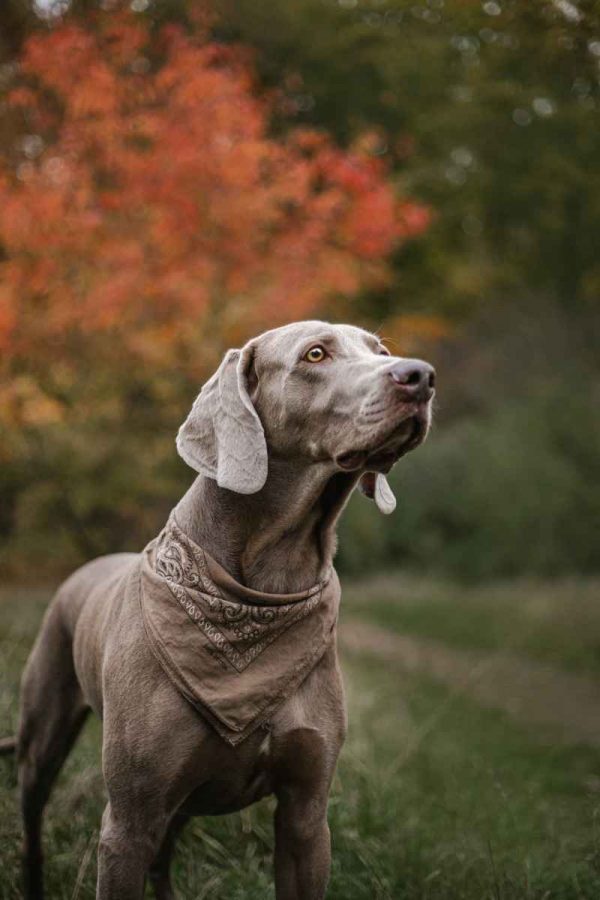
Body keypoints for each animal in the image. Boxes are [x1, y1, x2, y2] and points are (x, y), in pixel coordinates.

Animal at [4, 324, 436, 900]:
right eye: (315, 353)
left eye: (380, 351)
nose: (422, 376)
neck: (267, 588)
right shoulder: (128, 820)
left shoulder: (306, 813)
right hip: (43, 734)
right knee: (33, 823)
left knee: (164, 858)